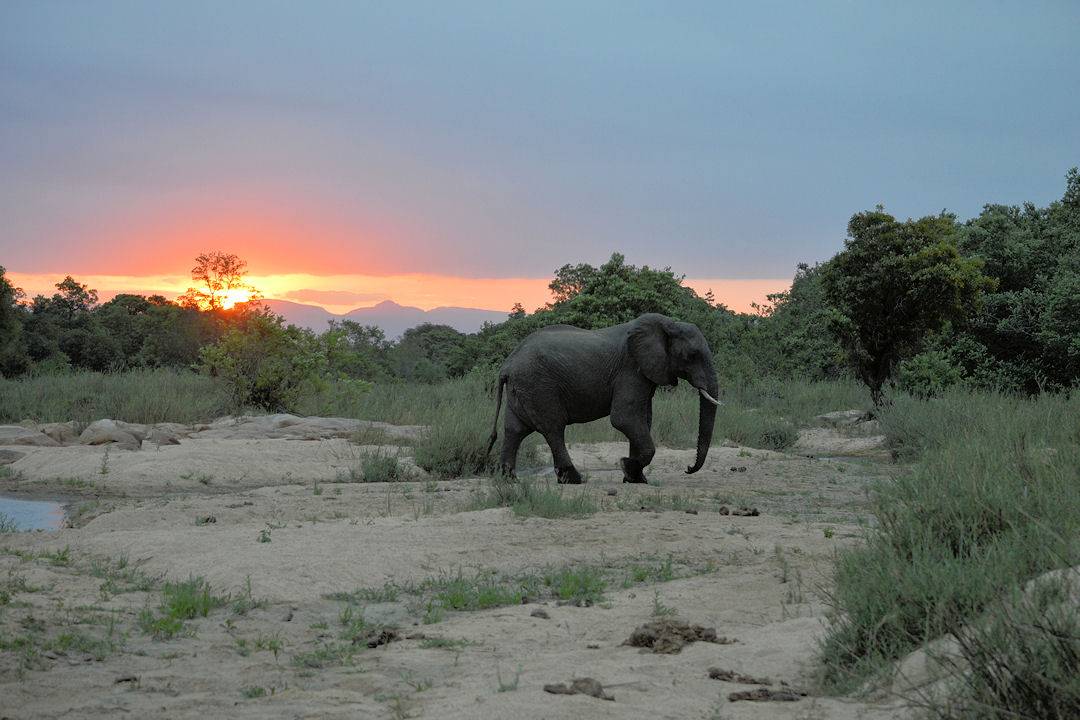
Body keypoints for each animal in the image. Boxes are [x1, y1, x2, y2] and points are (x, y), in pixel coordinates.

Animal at [488, 313, 721, 481]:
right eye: (692, 355)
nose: (688, 468)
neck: (668, 324)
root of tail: (507, 365)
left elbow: (643, 419)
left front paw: (635, 479)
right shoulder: (630, 369)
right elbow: (624, 418)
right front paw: (626, 466)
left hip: (523, 388)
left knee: (514, 429)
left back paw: (508, 479)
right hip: (538, 386)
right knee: (553, 428)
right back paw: (574, 479)